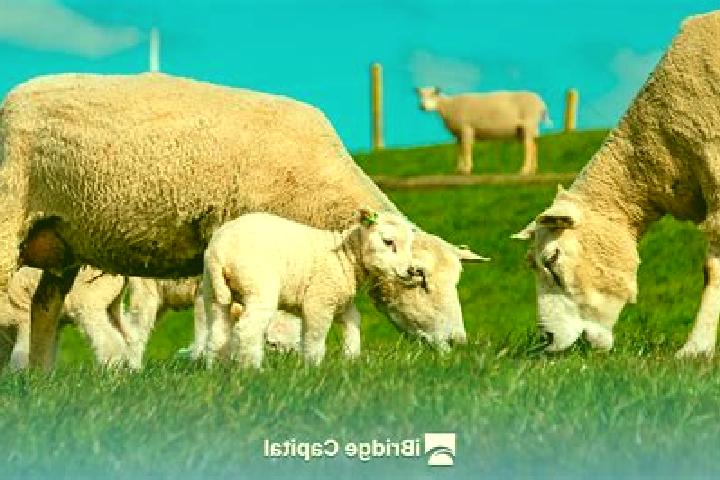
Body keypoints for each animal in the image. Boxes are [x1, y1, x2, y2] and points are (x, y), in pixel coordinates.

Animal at [202, 209, 421, 367]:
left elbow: (353, 321)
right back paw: (252, 370)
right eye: (388, 242)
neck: (346, 256)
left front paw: (351, 358)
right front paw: (313, 368)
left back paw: (216, 369)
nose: (411, 271)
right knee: (248, 330)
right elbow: (315, 339)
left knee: (217, 333)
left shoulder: (339, 300)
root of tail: (219, 251)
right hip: (258, 286)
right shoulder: (320, 300)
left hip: (214, 291)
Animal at [416, 87, 548, 175]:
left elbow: (466, 148)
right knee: (534, 145)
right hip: (524, 129)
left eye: (433, 95)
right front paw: (459, 169)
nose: (422, 106)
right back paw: (533, 170)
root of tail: (541, 104)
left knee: (528, 147)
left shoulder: (466, 128)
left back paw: (524, 170)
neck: (449, 106)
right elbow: (460, 149)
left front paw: (467, 169)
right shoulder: (459, 133)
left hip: (529, 123)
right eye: (420, 95)